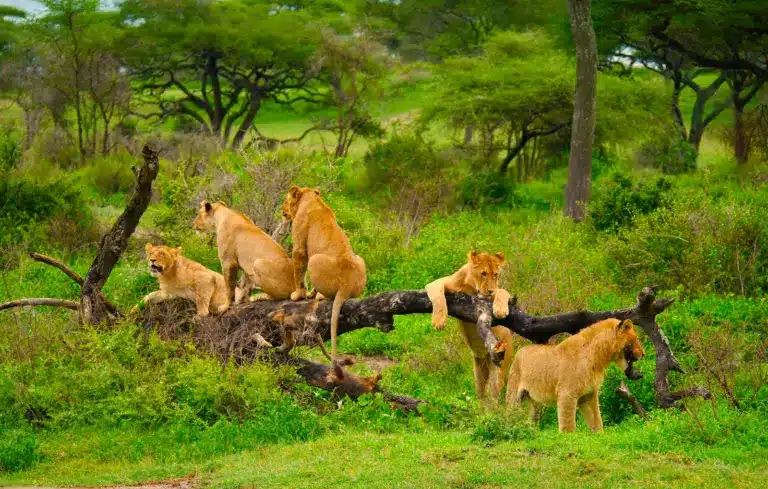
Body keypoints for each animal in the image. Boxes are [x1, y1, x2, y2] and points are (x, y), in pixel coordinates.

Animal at [280, 186, 366, 360]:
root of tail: (346, 284)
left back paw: (319, 296)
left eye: (286, 200)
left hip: (314, 259)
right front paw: (308, 294)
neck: (311, 199)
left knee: (327, 295)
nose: (281, 210)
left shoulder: (299, 247)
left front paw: (297, 295)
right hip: (360, 259)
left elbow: (298, 274)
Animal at [425, 250, 519, 400]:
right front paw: (438, 322)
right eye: (483, 273)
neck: (472, 287)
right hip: (479, 371)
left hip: (500, 365)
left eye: (496, 274)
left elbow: (502, 291)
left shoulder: (494, 292)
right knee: (481, 395)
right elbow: (438, 296)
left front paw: (500, 310)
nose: (490, 290)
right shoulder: (441, 282)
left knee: (495, 396)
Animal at [506, 318, 645, 433]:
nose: (643, 354)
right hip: (514, 395)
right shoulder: (566, 394)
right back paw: (510, 428)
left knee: (532, 419)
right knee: (510, 413)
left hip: (536, 402)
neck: (598, 358)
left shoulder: (589, 395)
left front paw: (599, 435)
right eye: (636, 339)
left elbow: (597, 421)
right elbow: (568, 426)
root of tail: (519, 350)